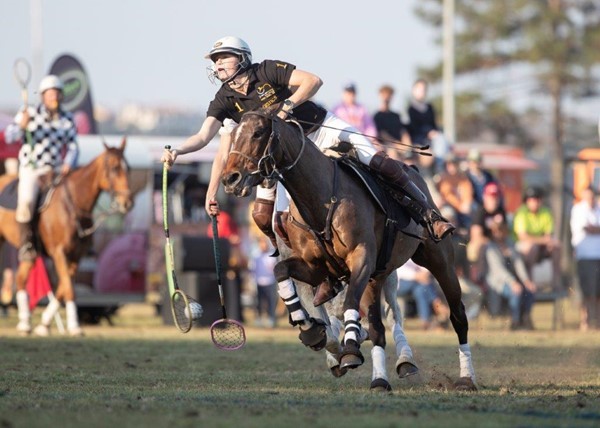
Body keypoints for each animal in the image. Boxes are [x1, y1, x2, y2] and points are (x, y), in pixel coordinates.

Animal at [0, 137, 132, 334]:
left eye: (128, 168)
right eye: (115, 168)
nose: (127, 202)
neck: (75, 206)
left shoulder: (76, 256)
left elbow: (64, 287)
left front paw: (44, 324)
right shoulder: (59, 252)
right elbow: (68, 288)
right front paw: (75, 326)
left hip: (31, 254)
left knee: (21, 279)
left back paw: (25, 322)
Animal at [221, 111, 478, 392]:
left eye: (257, 133)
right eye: (232, 135)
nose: (230, 179)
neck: (321, 198)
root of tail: (415, 170)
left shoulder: (361, 258)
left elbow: (349, 302)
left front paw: (351, 348)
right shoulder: (314, 267)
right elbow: (282, 272)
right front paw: (309, 328)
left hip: (439, 261)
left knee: (456, 315)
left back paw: (465, 377)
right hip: (380, 275)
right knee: (378, 326)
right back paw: (380, 378)